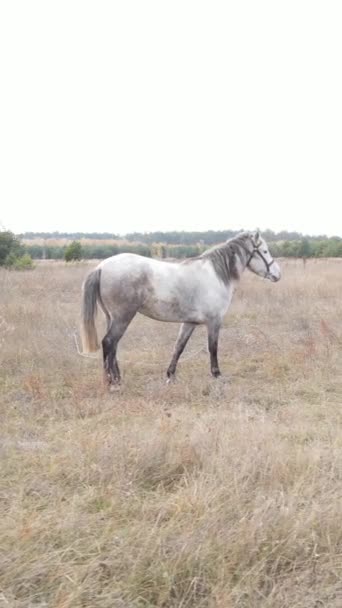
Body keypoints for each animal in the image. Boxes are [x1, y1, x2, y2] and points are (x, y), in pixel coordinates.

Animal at [81, 230, 280, 388]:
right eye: (264, 251)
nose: (278, 274)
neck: (216, 275)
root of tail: (101, 266)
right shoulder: (214, 322)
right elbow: (213, 348)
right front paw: (217, 375)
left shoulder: (189, 322)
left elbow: (179, 347)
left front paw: (170, 376)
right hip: (123, 317)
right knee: (109, 343)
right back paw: (111, 383)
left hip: (112, 318)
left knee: (113, 346)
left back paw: (117, 379)